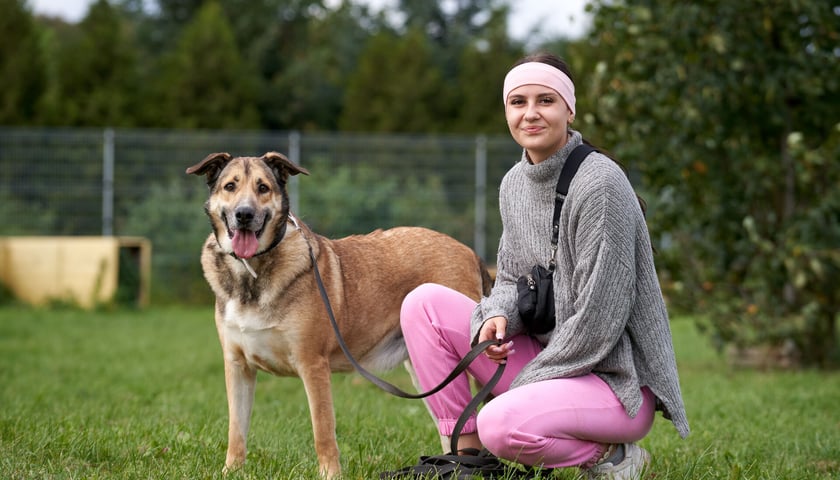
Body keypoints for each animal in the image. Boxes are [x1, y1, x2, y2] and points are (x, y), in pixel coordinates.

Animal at [187, 152, 488, 478]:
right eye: (230, 186)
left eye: (263, 187)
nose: (244, 214)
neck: (251, 274)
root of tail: (469, 252)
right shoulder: (237, 366)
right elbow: (236, 430)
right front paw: (231, 471)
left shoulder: (312, 365)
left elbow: (323, 430)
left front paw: (330, 473)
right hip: (427, 374)